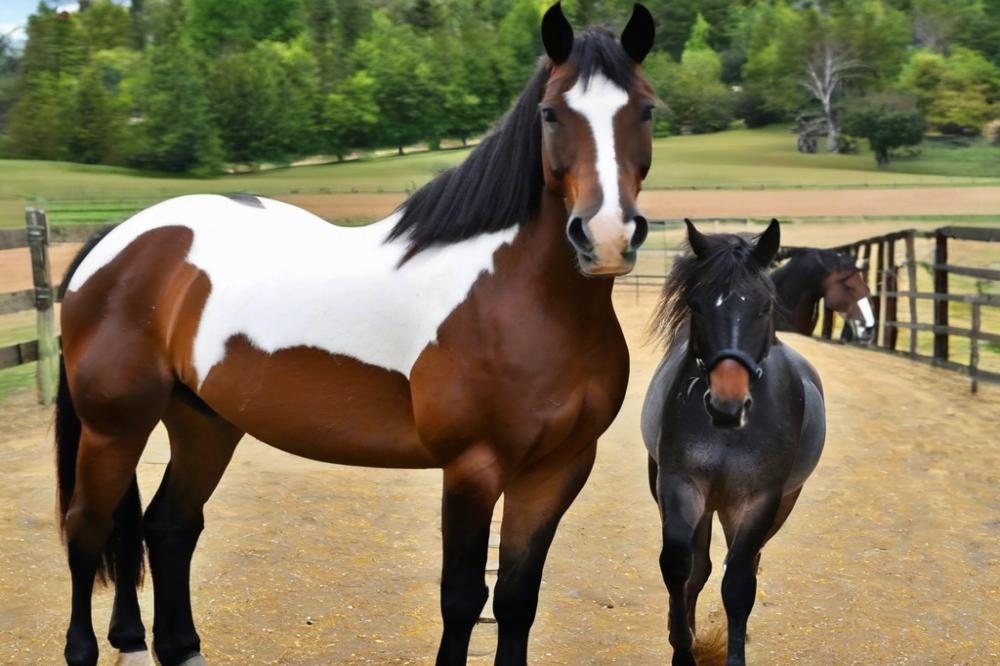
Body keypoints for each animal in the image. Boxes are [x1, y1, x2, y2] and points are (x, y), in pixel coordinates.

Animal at [58, 5, 660, 664]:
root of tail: (117, 240)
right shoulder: (473, 468)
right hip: (114, 427)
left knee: (169, 526)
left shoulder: (558, 468)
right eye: (551, 113)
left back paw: (175, 645)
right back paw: (88, 648)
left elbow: (517, 599)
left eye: (646, 110)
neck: (520, 301)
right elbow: (462, 599)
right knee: (87, 528)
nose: (605, 236)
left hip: (202, 422)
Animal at [640, 220, 828, 660]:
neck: (730, 435)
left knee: (743, 563)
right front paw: (682, 646)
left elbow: (739, 583)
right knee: (700, 566)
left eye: (764, 307)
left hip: (765, 506)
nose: (727, 404)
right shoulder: (680, 485)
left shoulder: (759, 501)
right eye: (696, 306)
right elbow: (680, 566)